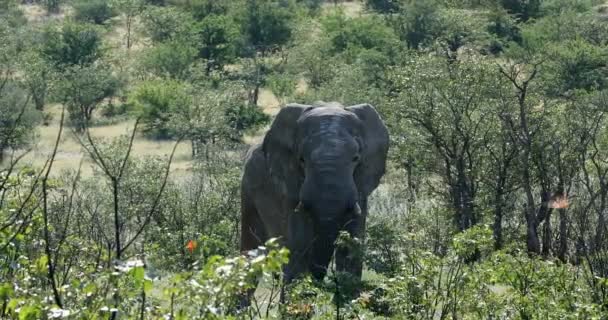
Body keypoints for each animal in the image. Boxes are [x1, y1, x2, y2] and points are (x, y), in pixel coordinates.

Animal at [239, 101, 388, 284]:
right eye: (301, 159)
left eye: (356, 158)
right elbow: (299, 243)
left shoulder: (361, 186)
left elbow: (353, 243)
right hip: (248, 188)